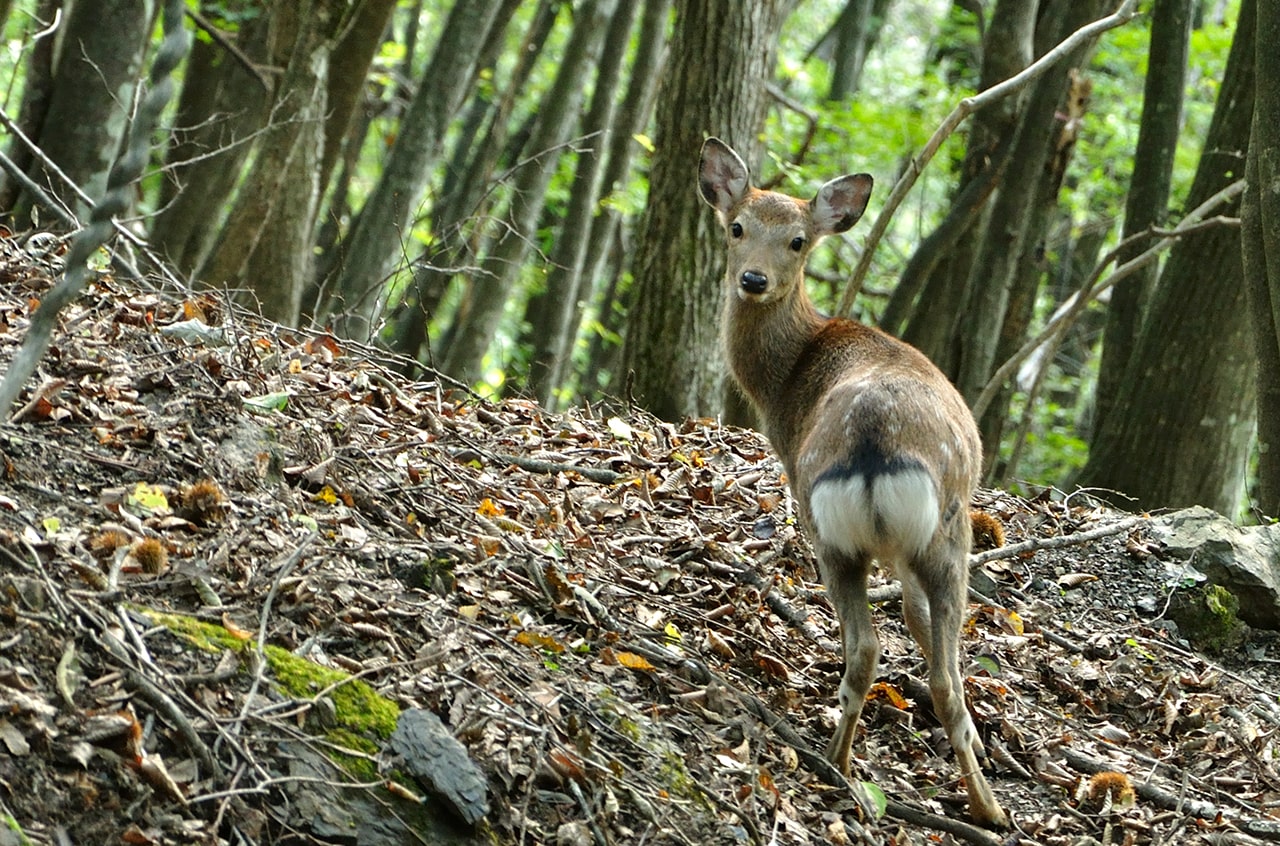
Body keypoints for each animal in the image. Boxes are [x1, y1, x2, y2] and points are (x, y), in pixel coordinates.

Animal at [701, 136, 1008, 824]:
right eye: (737, 227)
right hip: (937, 537)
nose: (752, 279)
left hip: (840, 529)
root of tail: (874, 444)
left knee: (868, 648)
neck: (783, 383)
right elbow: (919, 624)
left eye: (797, 241)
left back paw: (838, 764)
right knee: (943, 672)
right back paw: (987, 807)